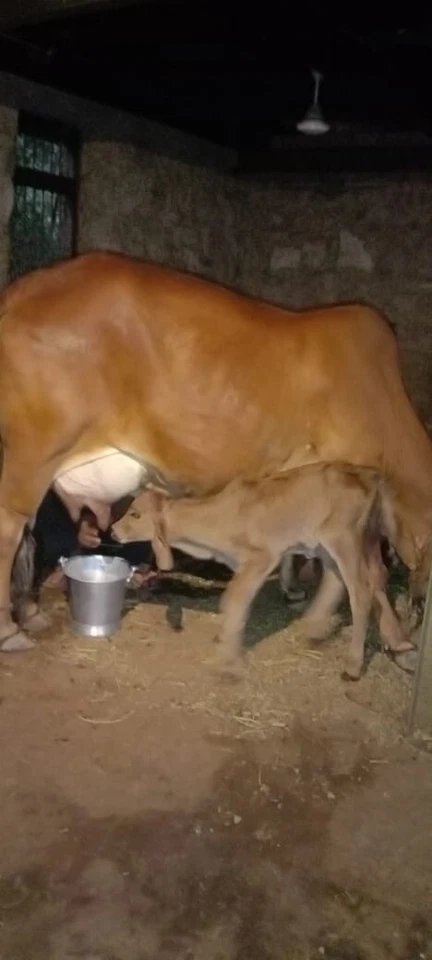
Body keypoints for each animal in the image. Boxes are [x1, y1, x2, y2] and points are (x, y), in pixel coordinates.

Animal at [0, 250, 431, 652]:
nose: (418, 615)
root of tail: (19, 292)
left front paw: (293, 590)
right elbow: (370, 571)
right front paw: (396, 639)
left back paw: (31, 612)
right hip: (34, 454)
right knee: (9, 528)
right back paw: (10, 630)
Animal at [121, 463, 414, 680]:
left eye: (135, 514)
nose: (114, 529)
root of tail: (370, 475)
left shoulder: (262, 558)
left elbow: (235, 601)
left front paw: (228, 662)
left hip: (345, 539)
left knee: (362, 589)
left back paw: (353, 665)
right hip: (338, 543)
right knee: (354, 578)